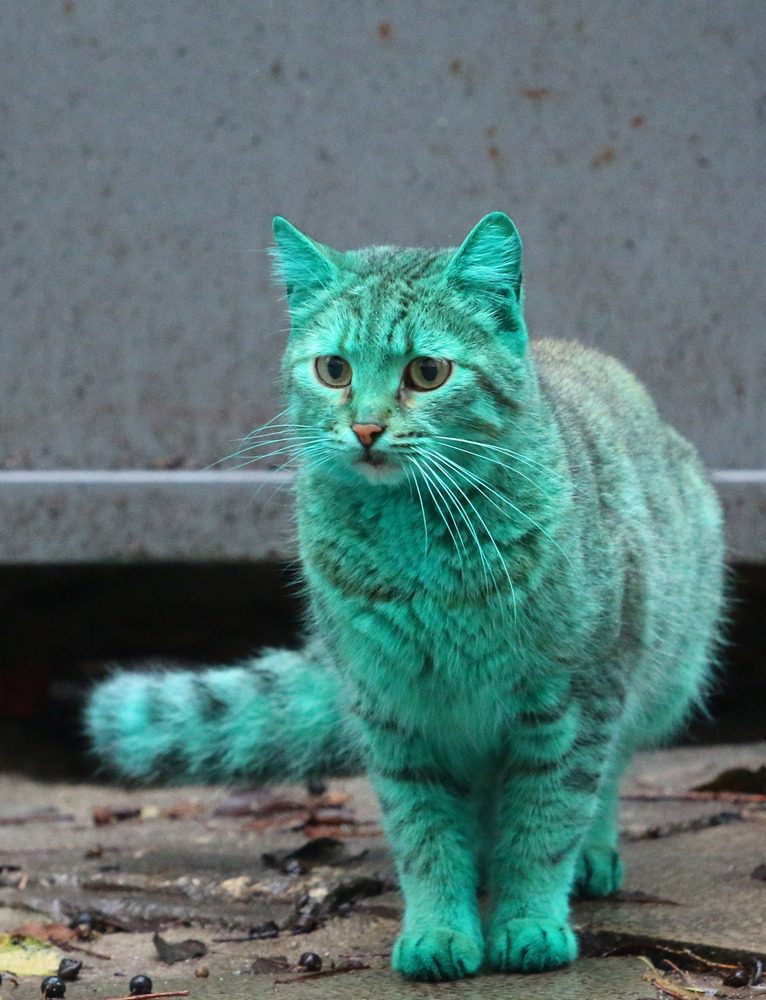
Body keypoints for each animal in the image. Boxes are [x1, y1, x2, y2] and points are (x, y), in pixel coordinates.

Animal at [88, 213, 728, 984]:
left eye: (427, 372)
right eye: (334, 369)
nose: (365, 427)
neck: (420, 546)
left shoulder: (574, 702)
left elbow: (545, 823)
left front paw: (529, 920)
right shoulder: (396, 711)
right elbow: (426, 835)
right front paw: (440, 930)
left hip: (661, 676)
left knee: (607, 778)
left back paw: (592, 857)